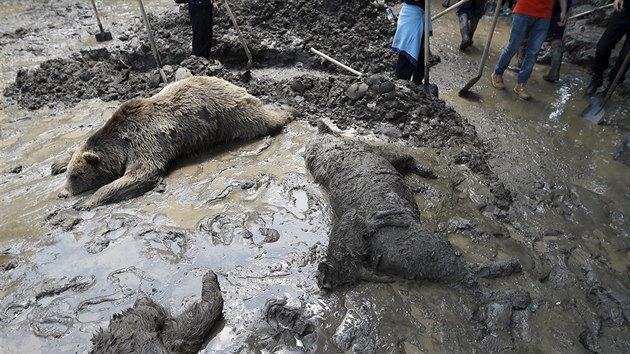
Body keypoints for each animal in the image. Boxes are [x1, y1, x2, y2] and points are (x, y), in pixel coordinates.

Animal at [51, 74, 294, 207]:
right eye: (69, 174)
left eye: (76, 176)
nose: (62, 193)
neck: (120, 141)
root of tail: (236, 85)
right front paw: (56, 163)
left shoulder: (145, 140)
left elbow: (142, 173)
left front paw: (87, 202)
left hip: (231, 114)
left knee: (260, 119)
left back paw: (288, 110)